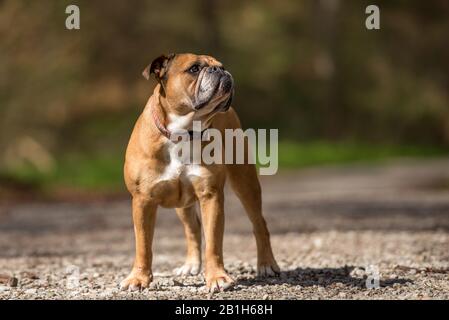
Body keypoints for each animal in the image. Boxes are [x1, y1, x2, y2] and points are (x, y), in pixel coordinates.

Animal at [121, 53, 278, 292]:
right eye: (194, 69)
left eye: (221, 65)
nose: (220, 71)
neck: (183, 131)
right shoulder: (142, 200)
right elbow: (143, 245)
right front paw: (138, 278)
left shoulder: (210, 196)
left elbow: (213, 242)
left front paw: (217, 277)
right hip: (182, 203)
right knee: (192, 227)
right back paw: (191, 264)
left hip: (245, 183)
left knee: (259, 224)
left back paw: (267, 264)